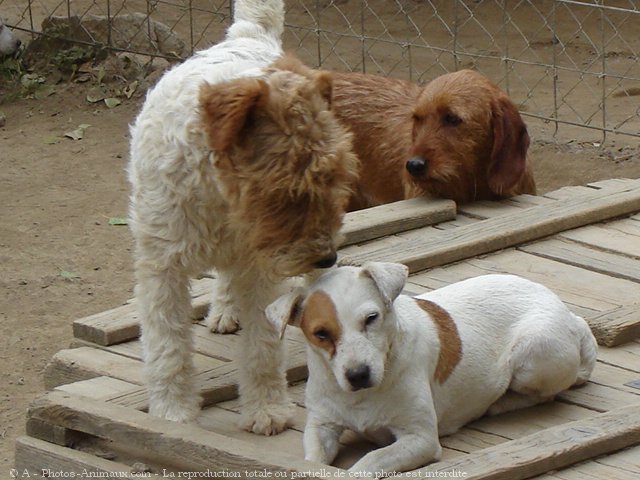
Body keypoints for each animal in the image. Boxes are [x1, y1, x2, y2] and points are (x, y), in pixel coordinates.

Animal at [266, 264, 600, 474]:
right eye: (321, 333)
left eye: (371, 318)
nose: (358, 374)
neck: (361, 397)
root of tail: (570, 315)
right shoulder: (321, 426)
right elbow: (313, 460)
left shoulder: (420, 439)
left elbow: (369, 461)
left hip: (532, 354)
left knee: (544, 393)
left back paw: (499, 402)